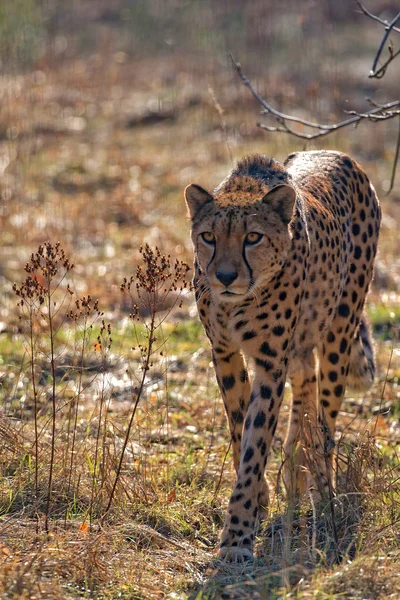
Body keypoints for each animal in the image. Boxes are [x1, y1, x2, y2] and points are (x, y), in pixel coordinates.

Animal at [184, 151, 382, 564]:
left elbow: (256, 440)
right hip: (303, 346)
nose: (225, 276)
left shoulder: (271, 361)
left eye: (253, 237)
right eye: (208, 237)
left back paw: (322, 493)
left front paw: (237, 536)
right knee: (305, 390)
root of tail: (340, 156)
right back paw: (294, 471)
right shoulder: (223, 352)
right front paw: (258, 501)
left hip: (340, 331)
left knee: (325, 422)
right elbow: (239, 427)